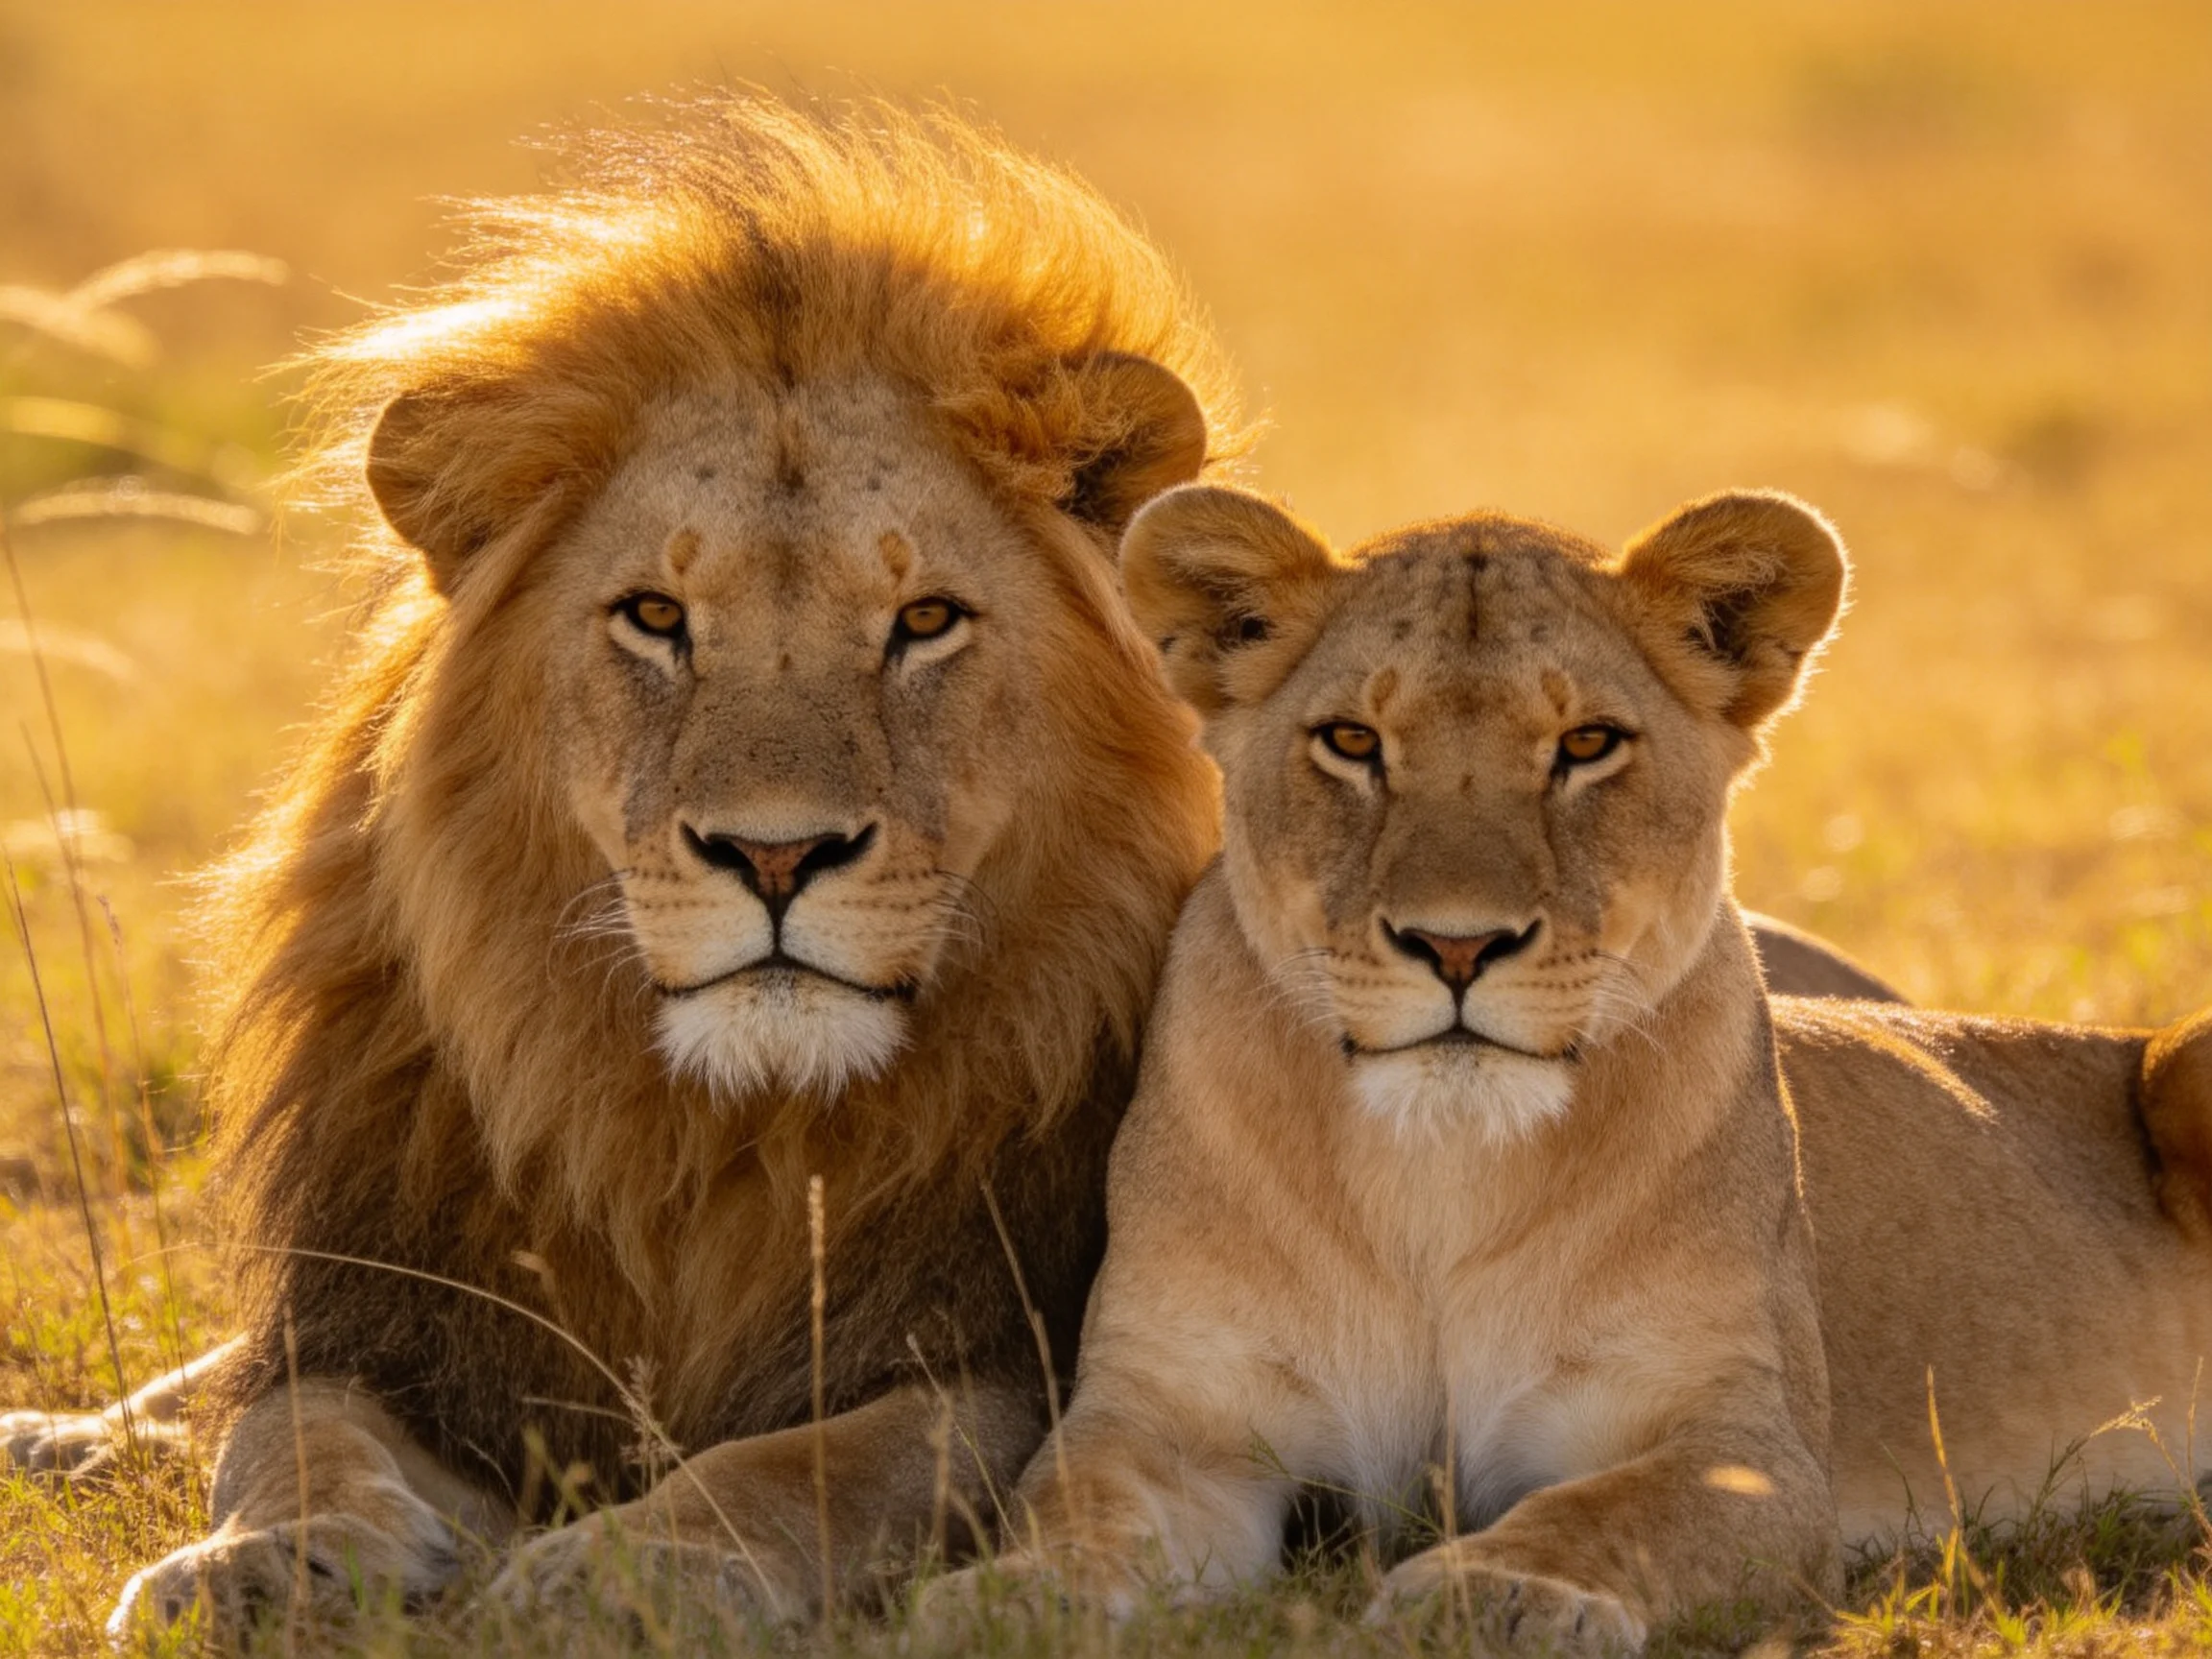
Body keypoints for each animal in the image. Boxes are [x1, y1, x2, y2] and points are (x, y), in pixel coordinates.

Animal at [917, 484, 2212, 1653]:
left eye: (1587, 745)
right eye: (1352, 742)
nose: (1456, 945)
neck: (1441, 1166)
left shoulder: (1743, 1448)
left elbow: (1601, 1514)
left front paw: (1496, 1592)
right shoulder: (1173, 1422)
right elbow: (1080, 1517)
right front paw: (1004, 1599)